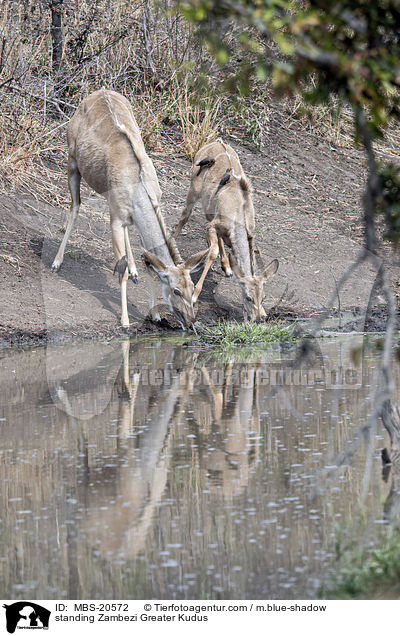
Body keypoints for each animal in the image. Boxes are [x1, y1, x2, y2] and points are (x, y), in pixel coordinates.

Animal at [50, 89, 208, 328]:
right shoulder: (114, 219)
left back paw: (134, 272)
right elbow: (121, 270)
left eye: (193, 289)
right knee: (75, 206)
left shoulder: (133, 214)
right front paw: (125, 320)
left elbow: (149, 265)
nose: (190, 322)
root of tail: (98, 92)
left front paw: (155, 314)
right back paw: (56, 262)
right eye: (176, 291)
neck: (138, 186)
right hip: (72, 163)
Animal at [172, 137, 278, 320]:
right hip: (193, 192)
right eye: (248, 297)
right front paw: (194, 296)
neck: (239, 215)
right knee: (184, 216)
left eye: (263, 297)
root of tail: (216, 142)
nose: (259, 317)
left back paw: (227, 267)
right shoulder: (212, 225)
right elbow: (212, 253)